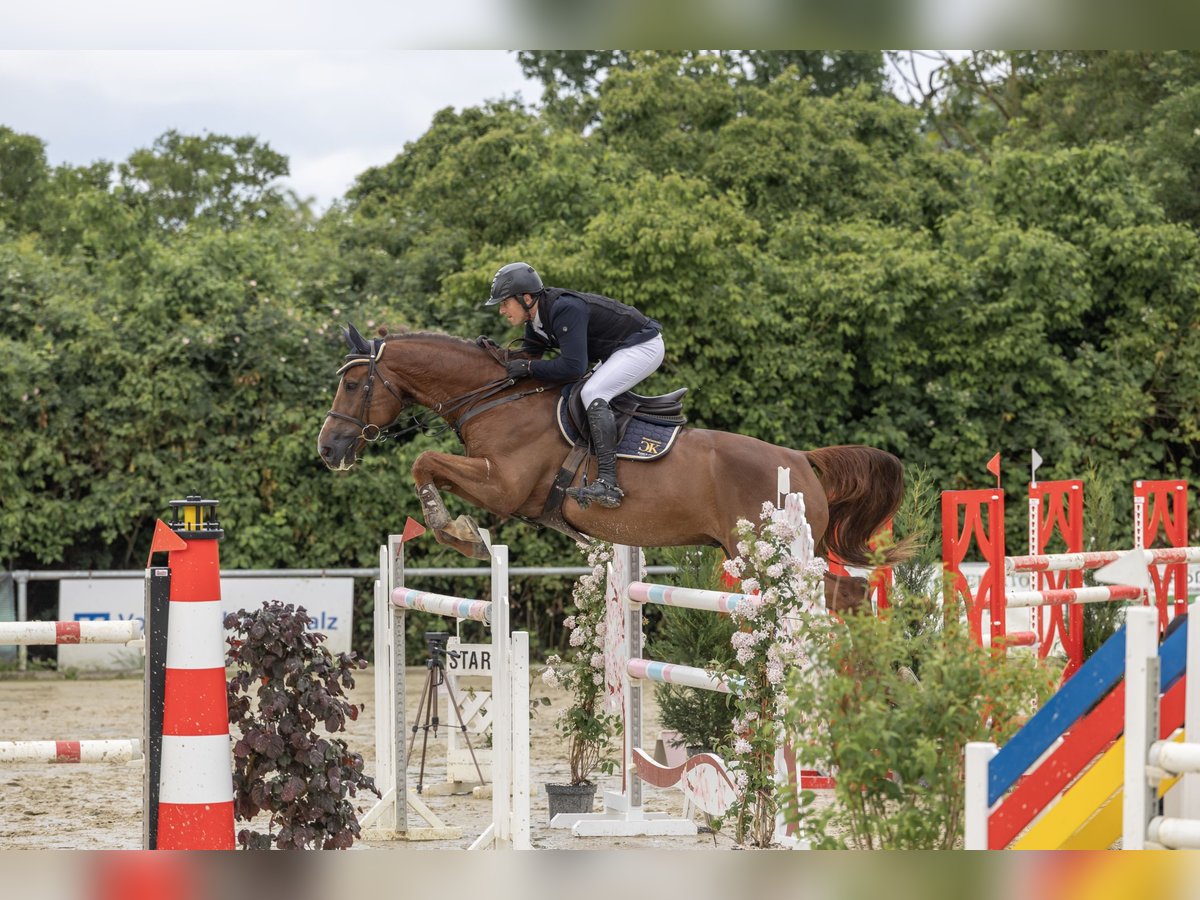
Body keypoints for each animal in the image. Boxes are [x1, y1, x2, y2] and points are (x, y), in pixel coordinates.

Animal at [319, 328, 907, 609]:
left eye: (352, 383)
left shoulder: (504, 486)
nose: (328, 448)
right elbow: (429, 465)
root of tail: (802, 461)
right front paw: (458, 531)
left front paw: (458, 532)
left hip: (769, 554)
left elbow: (425, 462)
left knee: (840, 596)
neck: (496, 398)